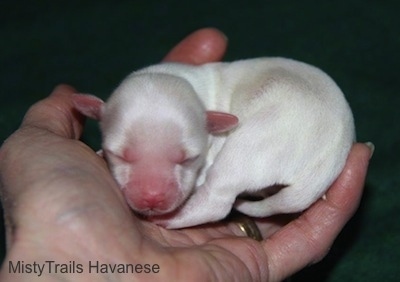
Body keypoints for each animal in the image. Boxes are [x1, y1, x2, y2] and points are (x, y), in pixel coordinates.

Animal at [72, 57, 354, 229]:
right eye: (119, 154)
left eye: (188, 158)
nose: (153, 199)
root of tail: (331, 159)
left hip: (254, 144)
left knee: (217, 200)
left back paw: (175, 219)